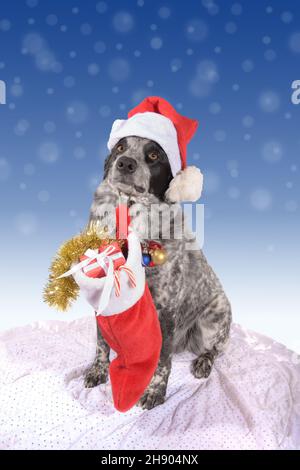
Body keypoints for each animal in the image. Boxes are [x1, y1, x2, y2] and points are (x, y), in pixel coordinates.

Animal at [84, 134, 232, 410]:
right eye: (121, 146)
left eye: (154, 155)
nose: (125, 163)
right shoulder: (103, 299)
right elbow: (101, 344)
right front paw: (98, 370)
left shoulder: (165, 311)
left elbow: (162, 361)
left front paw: (155, 391)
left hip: (214, 318)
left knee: (216, 348)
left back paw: (203, 362)